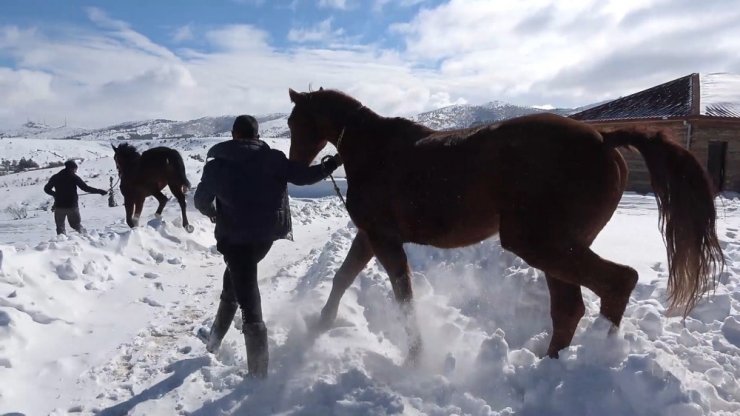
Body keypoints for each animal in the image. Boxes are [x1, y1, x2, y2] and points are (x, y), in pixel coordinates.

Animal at [286, 88, 724, 360]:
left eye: (294, 123)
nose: (293, 168)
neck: (375, 151)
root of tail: (605, 140)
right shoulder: (370, 236)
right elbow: (343, 277)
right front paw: (321, 324)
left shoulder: (383, 239)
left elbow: (403, 296)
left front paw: (416, 356)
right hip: (558, 246)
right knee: (570, 308)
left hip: (539, 243)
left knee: (616, 283)